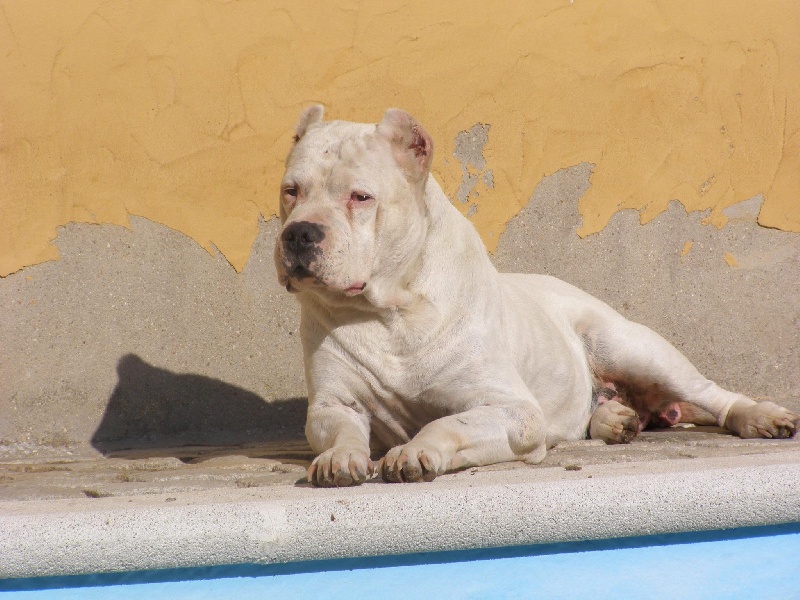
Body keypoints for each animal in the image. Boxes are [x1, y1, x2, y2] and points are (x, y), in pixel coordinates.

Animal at [275, 106, 799, 487]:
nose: (299, 233)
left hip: (628, 346)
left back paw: (758, 416)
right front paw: (341, 458)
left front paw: (418, 448)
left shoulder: (512, 409)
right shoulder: (332, 406)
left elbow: (447, 424)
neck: (391, 311)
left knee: (712, 393)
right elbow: (341, 430)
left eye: (360, 197)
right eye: (291, 191)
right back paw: (614, 419)